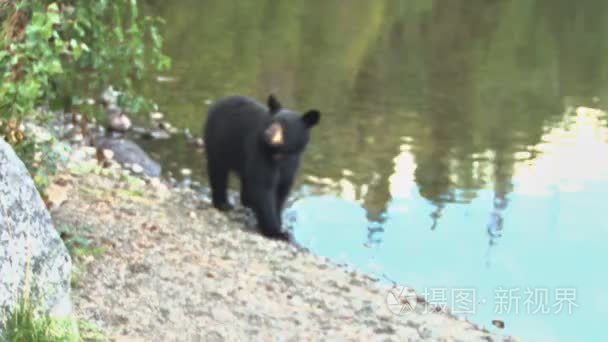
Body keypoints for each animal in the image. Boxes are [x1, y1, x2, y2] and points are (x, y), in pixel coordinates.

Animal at [203, 93, 320, 240]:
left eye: (284, 126)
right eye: (272, 121)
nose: (268, 133)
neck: (279, 154)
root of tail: (220, 101)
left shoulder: (292, 162)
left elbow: (281, 190)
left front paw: (279, 222)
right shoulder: (259, 151)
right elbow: (263, 187)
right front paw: (276, 232)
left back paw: (247, 202)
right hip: (219, 142)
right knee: (218, 172)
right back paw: (223, 204)